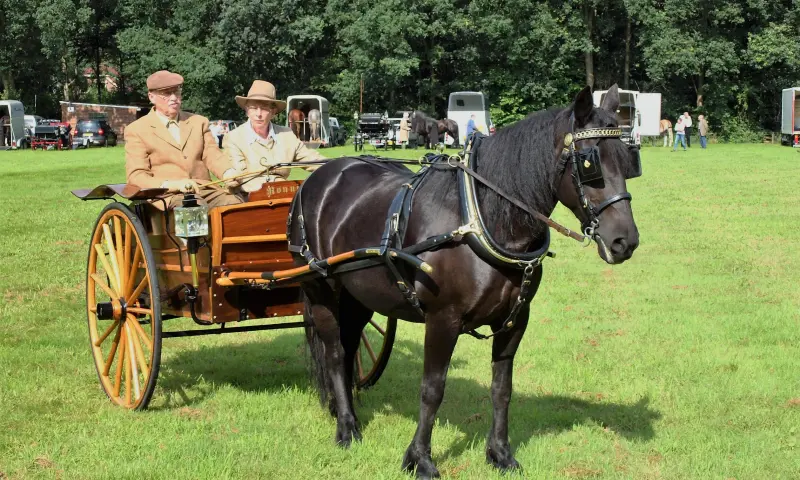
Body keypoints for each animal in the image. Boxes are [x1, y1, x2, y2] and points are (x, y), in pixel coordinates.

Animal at [290, 84, 640, 478]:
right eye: (589, 163)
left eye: (628, 159)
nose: (625, 241)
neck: (482, 217)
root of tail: (319, 177)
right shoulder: (443, 319)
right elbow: (432, 389)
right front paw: (420, 459)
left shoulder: (515, 321)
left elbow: (502, 388)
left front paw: (500, 453)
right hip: (321, 289)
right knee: (334, 353)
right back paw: (347, 429)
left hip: (360, 296)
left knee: (350, 348)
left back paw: (344, 409)